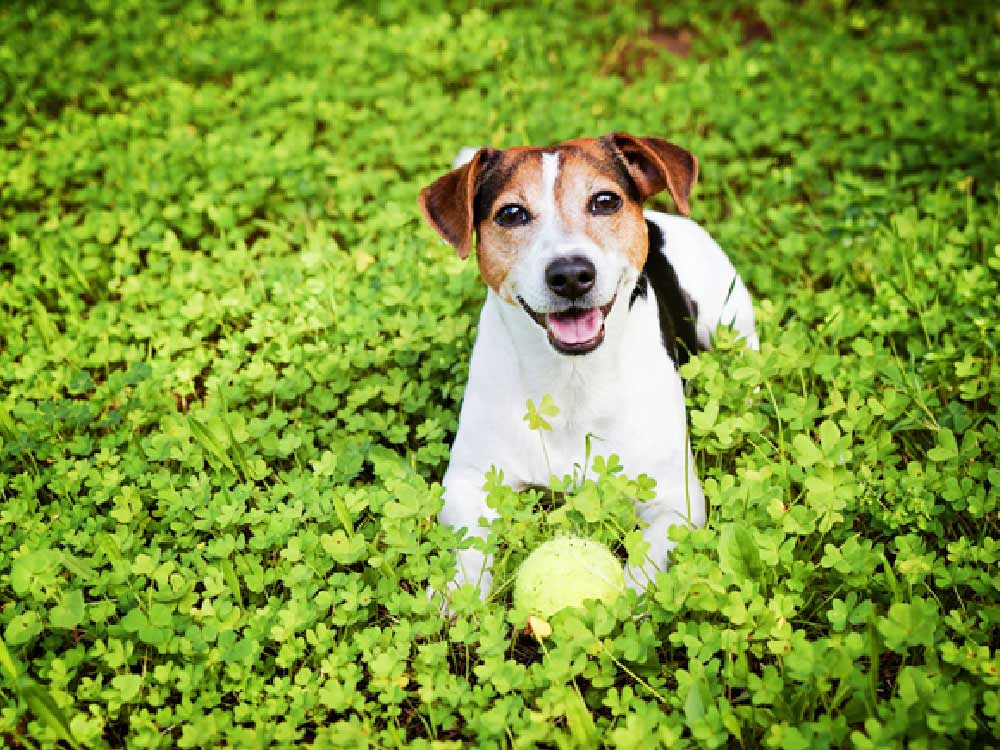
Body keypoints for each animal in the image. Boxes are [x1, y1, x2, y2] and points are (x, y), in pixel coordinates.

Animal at [418, 132, 752, 604]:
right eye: (511, 214)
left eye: (605, 201)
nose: (571, 274)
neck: (572, 378)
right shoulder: (470, 479)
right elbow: (469, 542)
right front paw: (457, 595)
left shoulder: (677, 500)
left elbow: (646, 559)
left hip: (728, 318)